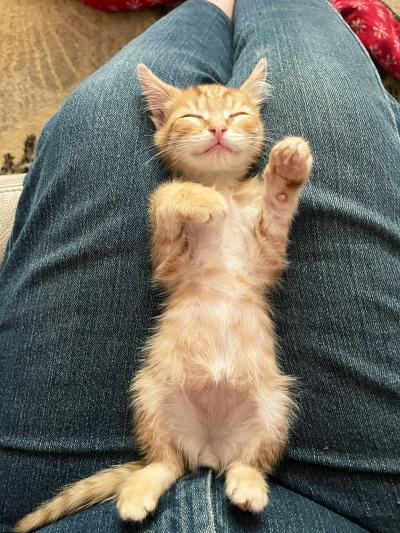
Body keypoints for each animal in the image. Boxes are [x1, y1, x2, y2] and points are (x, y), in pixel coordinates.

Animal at [14, 59, 312, 532]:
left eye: (237, 115)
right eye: (191, 117)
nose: (217, 129)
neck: (223, 187)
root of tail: (209, 451)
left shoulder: (266, 260)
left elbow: (276, 213)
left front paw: (286, 170)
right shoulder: (171, 268)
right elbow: (165, 195)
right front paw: (195, 196)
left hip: (274, 407)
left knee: (248, 460)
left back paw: (247, 484)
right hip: (151, 394)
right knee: (166, 462)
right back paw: (139, 491)